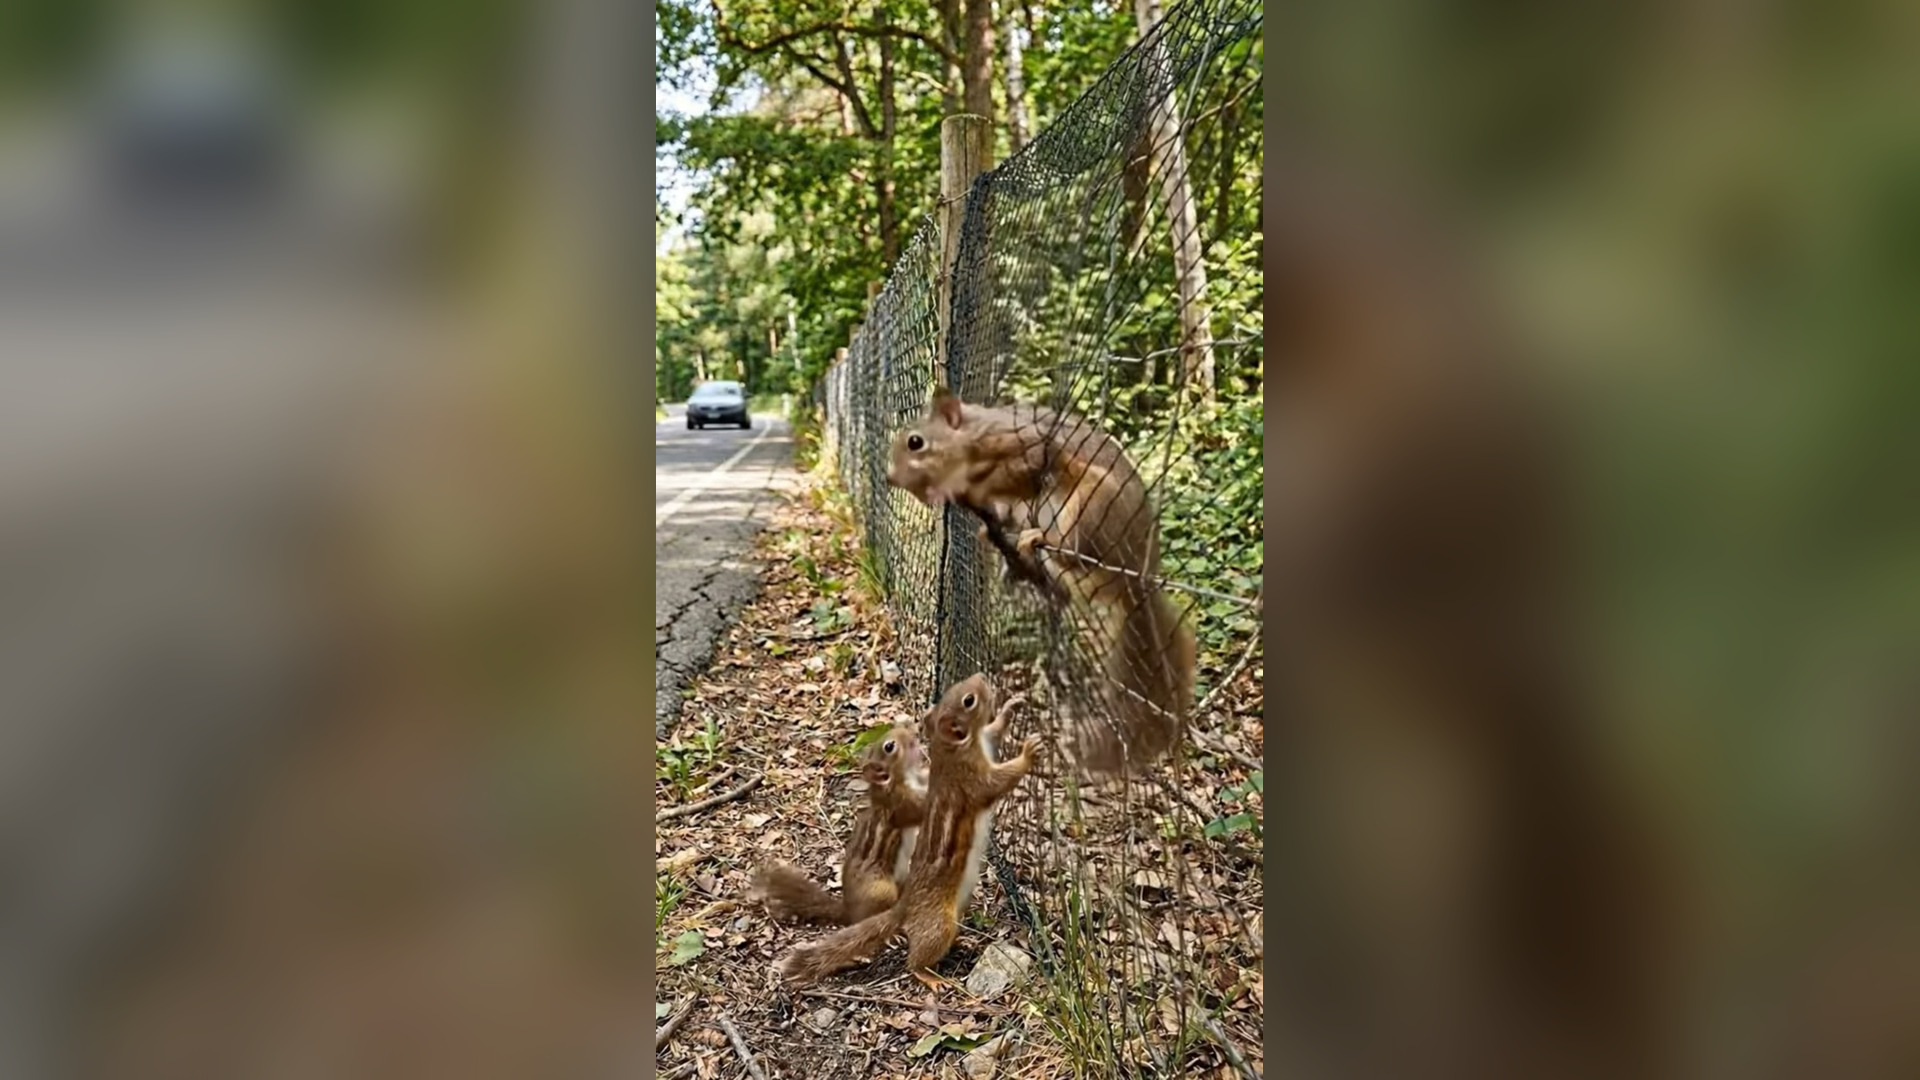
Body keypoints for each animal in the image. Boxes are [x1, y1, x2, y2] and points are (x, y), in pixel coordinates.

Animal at [750, 723, 929, 925]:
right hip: (881, 890)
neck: (905, 778)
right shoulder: (901, 804)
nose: (915, 732)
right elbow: (921, 809)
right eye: (889, 746)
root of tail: (848, 911)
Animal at [774, 674, 1037, 988]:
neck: (952, 749)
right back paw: (929, 975)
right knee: (916, 958)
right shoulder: (970, 779)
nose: (982, 678)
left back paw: (962, 944)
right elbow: (997, 783)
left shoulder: (984, 743)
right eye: (969, 700)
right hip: (937, 923)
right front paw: (1028, 754)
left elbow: (995, 731)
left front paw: (1010, 708)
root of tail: (905, 905)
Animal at [886, 387, 1195, 776]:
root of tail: (1140, 572)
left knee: (1074, 548)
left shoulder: (1021, 443)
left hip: (1095, 501)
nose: (890, 478)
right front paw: (984, 525)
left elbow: (1025, 465)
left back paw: (1040, 541)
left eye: (916, 442)